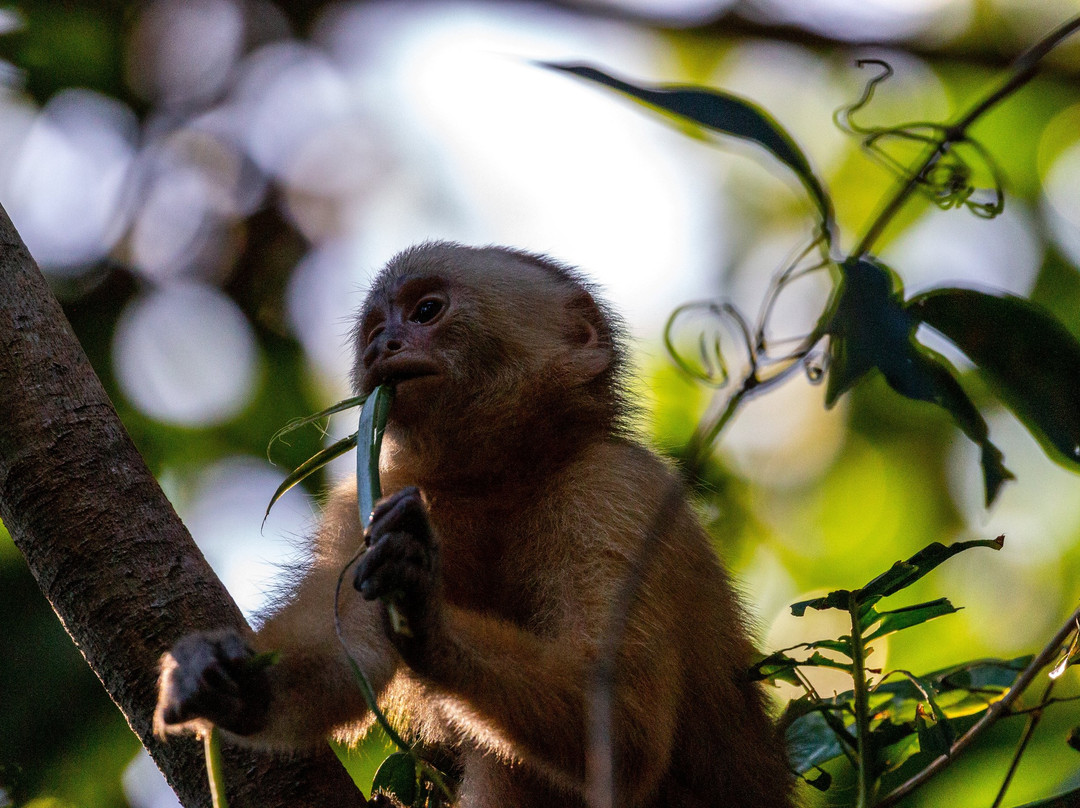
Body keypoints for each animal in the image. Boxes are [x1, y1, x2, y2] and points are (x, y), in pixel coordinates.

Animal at [154, 241, 794, 808]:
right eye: (373, 330)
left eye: (426, 311)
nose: (384, 345)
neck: (497, 481)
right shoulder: (363, 503)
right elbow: (349, 653)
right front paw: (235, 682)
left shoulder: (618, 489)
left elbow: (622, 726)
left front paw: (423, 613)